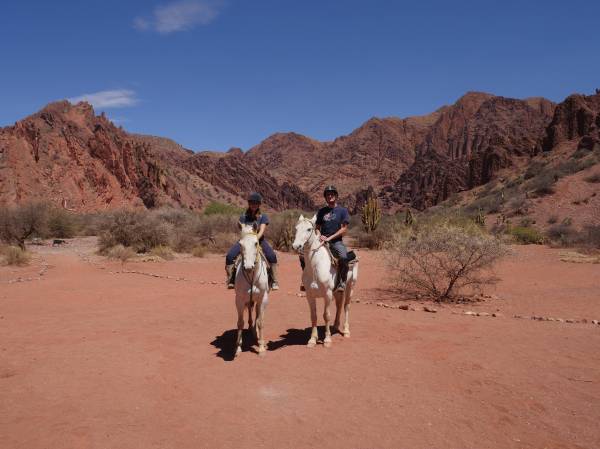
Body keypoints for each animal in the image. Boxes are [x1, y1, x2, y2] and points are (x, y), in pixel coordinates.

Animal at [234, 223, 270, 357]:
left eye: (256, 243)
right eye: (240, 244)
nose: (248, 267)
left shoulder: (263, 298)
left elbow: (260, 321)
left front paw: (261, 347)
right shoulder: (239, 299)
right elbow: (240, 322)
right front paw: (238, 348)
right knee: (250, 309)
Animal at [292, 214, 358, 347]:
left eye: (309, 229)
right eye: (296, 228)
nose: (296, 246)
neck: (315, 266)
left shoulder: (327, 294)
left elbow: (326, 315)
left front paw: (327, 340)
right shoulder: (310, 295)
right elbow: (314, 316)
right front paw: (312, 339)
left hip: (350, 286)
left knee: (346, 306)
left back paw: (346, 331)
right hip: (337, 291)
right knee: (339, 305)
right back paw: (336, 326)